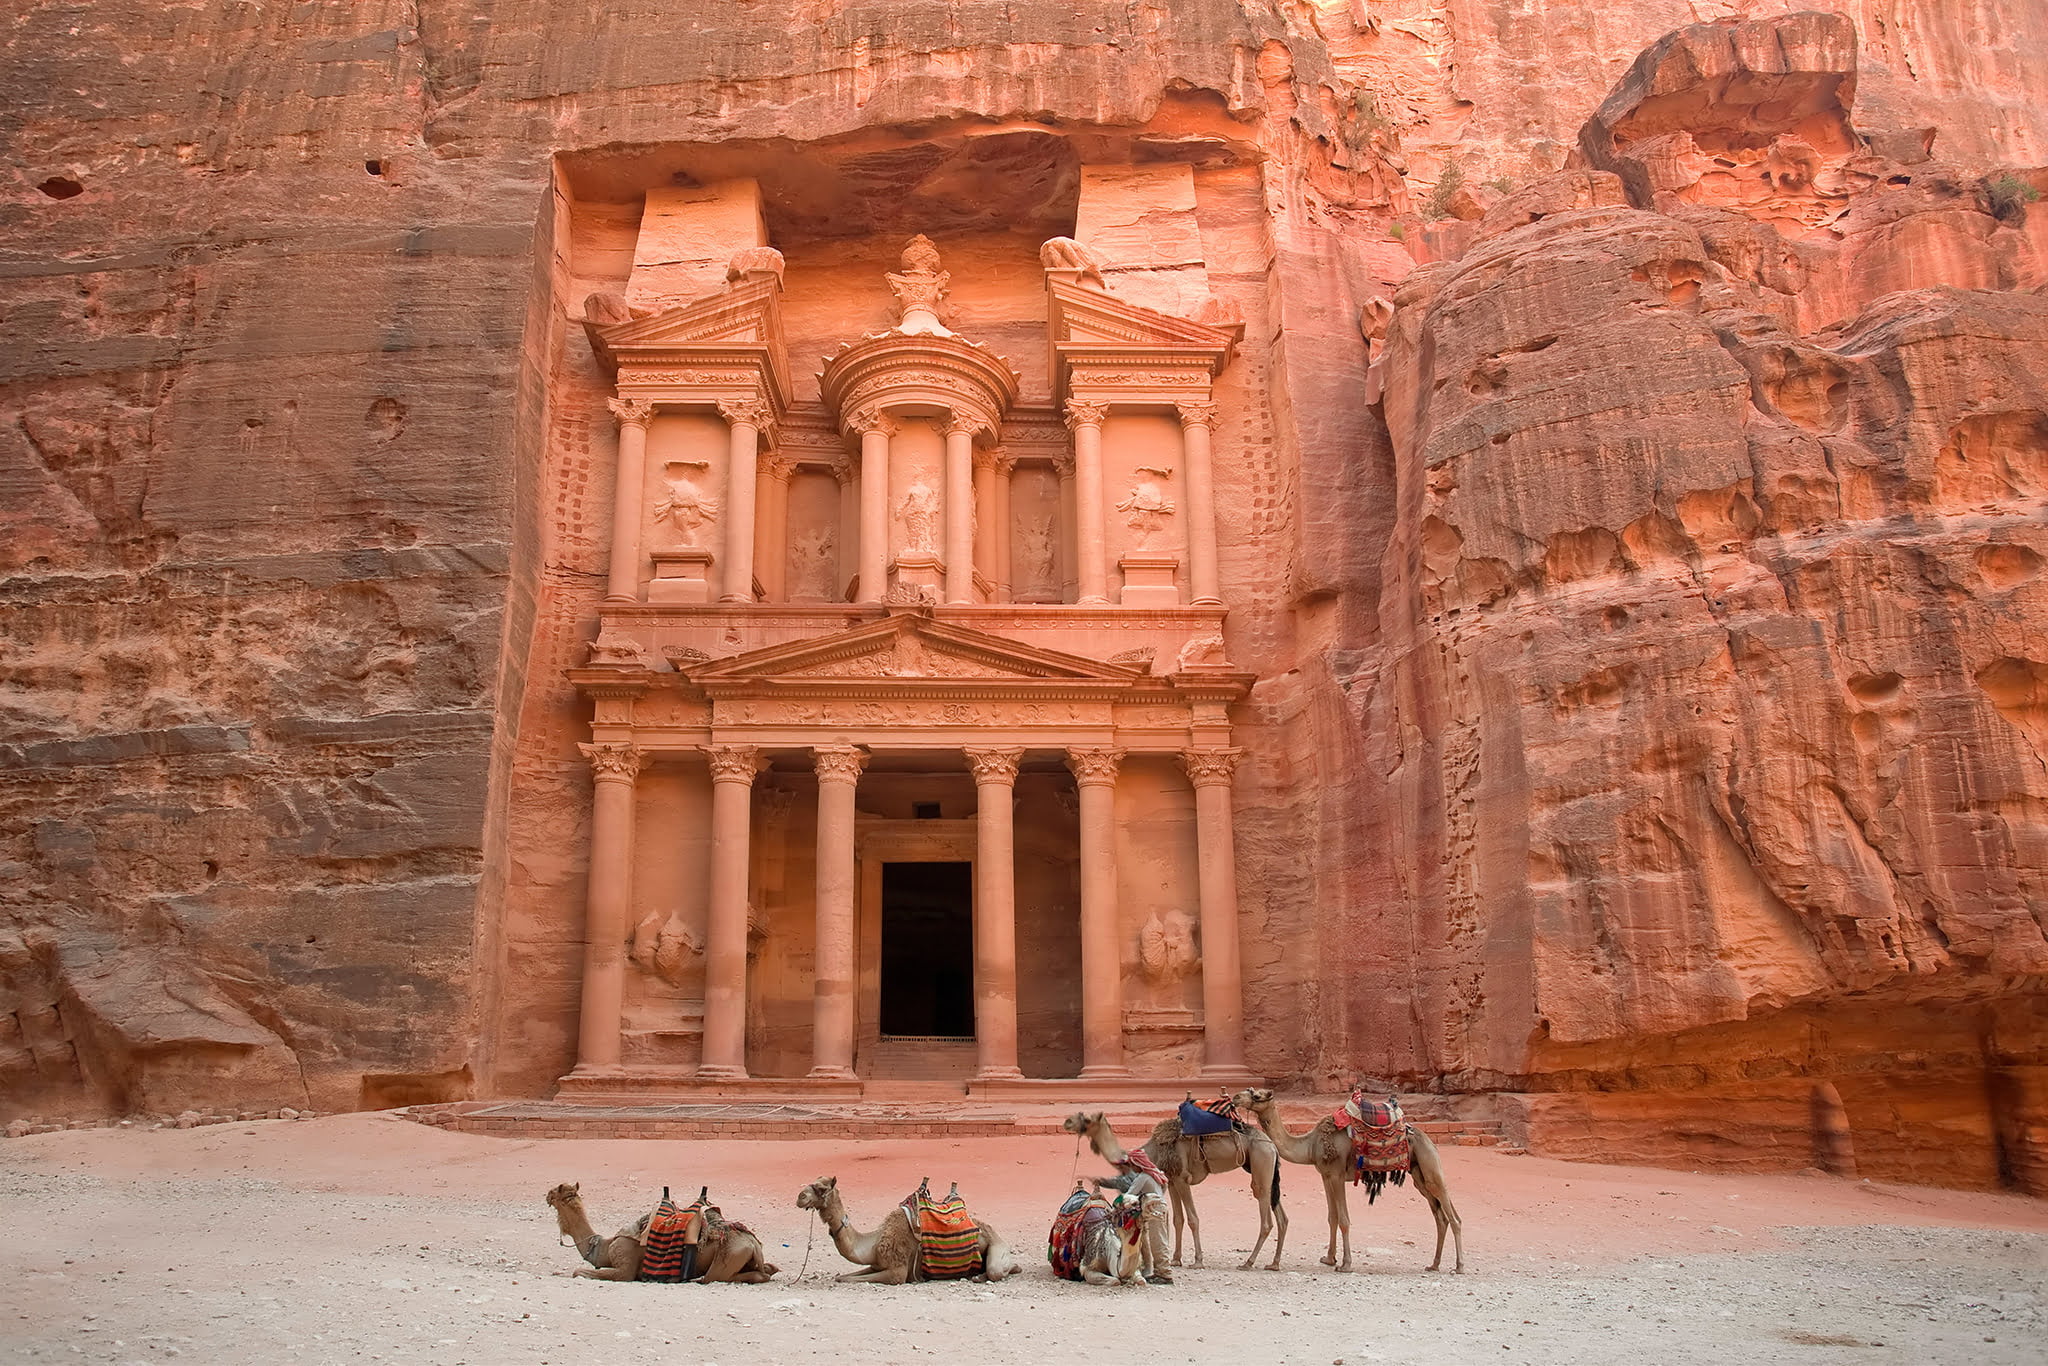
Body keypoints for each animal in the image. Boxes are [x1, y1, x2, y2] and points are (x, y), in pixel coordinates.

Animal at [544, 1187, 782, 1286]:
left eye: (555, 1191)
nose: (546, 1195)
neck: (604, 1246)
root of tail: (754, 1244)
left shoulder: (625, 1267)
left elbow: (578, 1272)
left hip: (728, 1257)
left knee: (720, 1277)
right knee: (767, 1269)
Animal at [1064, 1114, 1286, 1269]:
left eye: (1086, 1118)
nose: (1067, 1122)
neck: (1151, 1152)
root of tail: (1272, 1146)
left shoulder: (1181, 1178)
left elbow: (1192, 1219)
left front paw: (1197, 1261)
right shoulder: (1170, 1181)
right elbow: (1177, 1219)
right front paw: (1175, 1259)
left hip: (1261, 1164)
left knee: (1265, 1215)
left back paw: (1248, 1262)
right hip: (1266, 1169)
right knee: (1281, 1217)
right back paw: (1274, 1264)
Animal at [1220, 1089, 1466, 1269]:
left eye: (1257, 1095)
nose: (1235, 1097)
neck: (1310, 1145)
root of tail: (1427, 1139)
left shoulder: (1337, 1174)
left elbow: (1344, 1219)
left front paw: (1346, 1264)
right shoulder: (1326, 1175)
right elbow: (1333, 1217)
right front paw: (1329, 1259)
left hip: (1431, 1167)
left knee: (1453, 1216)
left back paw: (1459, 1266)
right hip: (1418, 1175)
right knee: (1440, 1217)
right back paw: (1434, 1265)